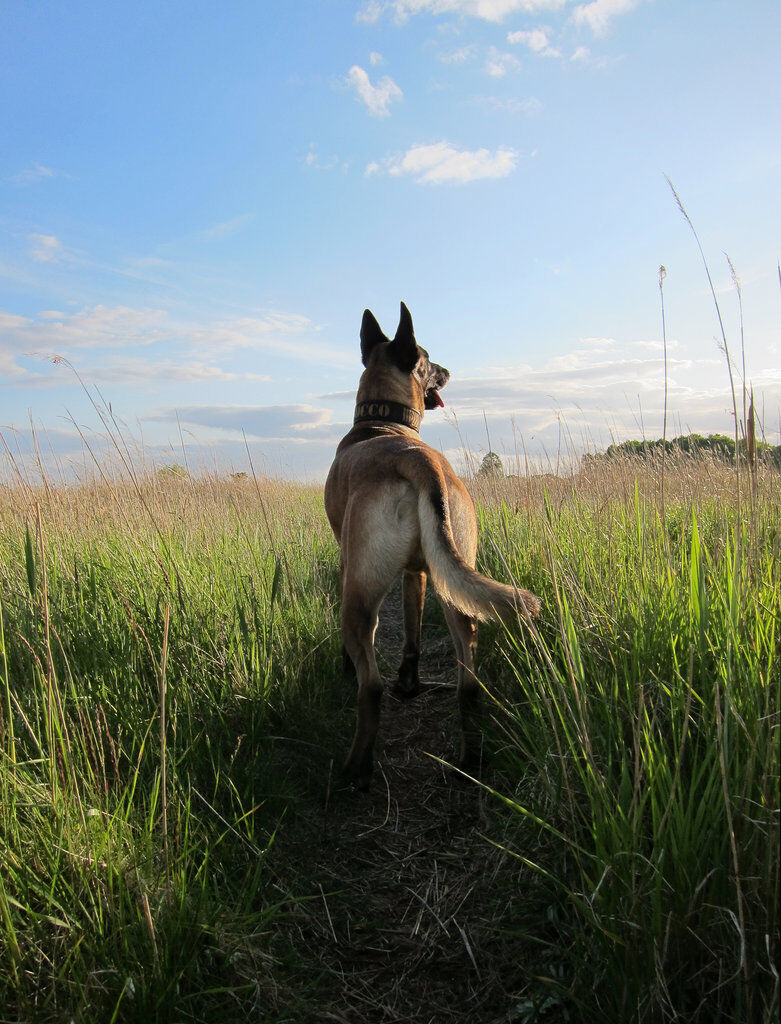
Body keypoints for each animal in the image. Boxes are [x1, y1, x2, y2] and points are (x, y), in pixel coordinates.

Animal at [324, 302, 540, 790]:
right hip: (456, 587)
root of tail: (419, 459)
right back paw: (471, 757)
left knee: (370, 687)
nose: (450, 371)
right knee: (469, 682)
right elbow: (413, 632)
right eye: (429, 360)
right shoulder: (417, 573)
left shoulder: (350, 566)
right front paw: (410, 682)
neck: (382, 422)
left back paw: (354, 771)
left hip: (359, 599)